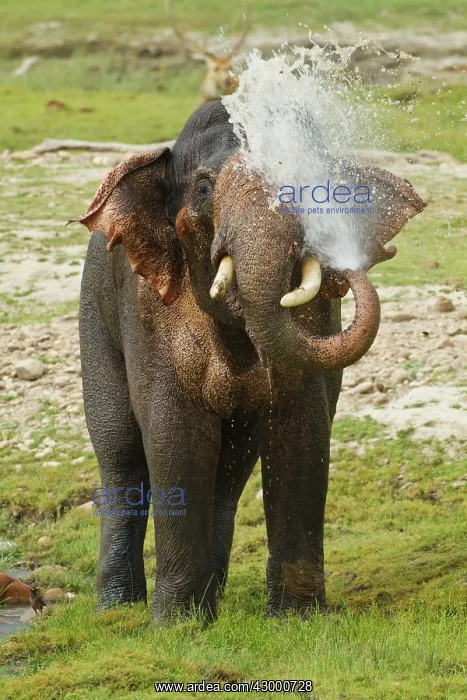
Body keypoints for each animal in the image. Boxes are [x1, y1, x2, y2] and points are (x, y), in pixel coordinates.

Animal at [74, 100, 425, 623]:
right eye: (203, 188)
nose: (349, 266)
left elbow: (300, 429)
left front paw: (296, 619)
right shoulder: (148, 312)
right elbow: (174, 432)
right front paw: (177, 625)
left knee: (231, 471)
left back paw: (212, 596)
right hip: (94, 317)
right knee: (120, 453)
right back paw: (116, 609)